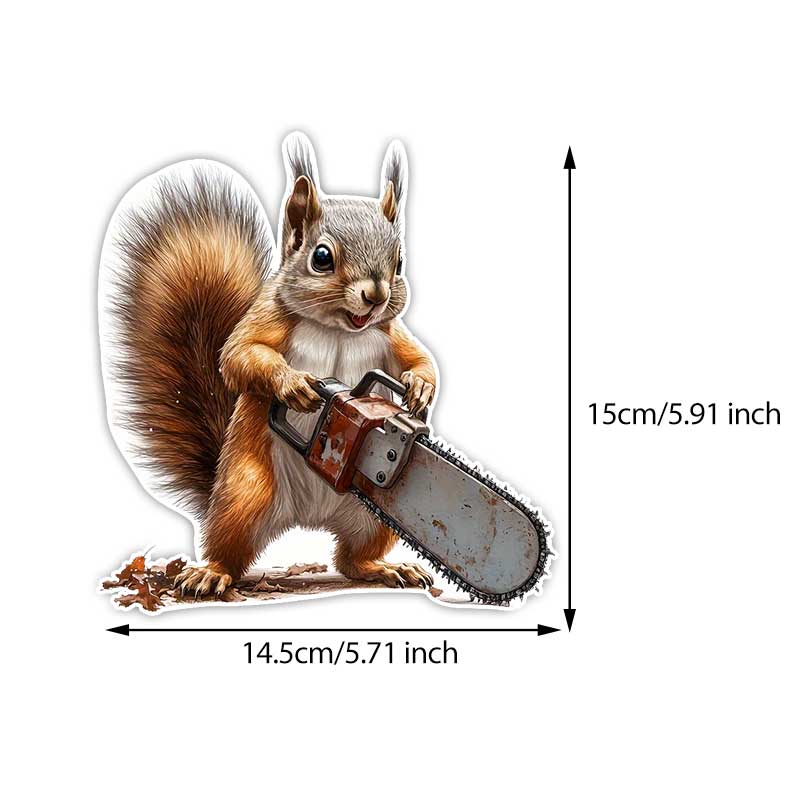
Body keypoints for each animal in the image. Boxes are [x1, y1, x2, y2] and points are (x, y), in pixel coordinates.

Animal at [104, 133, 438, 597]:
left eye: (400, 262)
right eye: (321, 257)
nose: (375, 295)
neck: (339, 328)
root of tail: (310, 517)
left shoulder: (390, 332)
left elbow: (420, 359)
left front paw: (420, 389)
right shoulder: (269, 319)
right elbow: (239, 355)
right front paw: (293, 385)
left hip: (377, 510)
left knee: (351, 559)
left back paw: (386, 568)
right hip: (246, 493)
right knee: (230, 544)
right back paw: (211, 573)